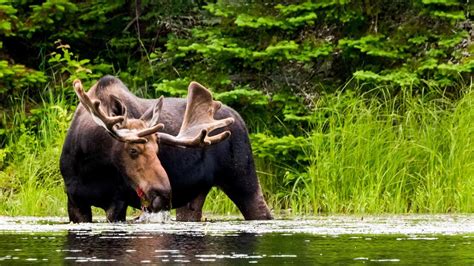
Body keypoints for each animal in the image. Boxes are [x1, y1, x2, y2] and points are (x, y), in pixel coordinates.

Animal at [58, 75, 272, 222]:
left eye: (157, 150)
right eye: (133, 150)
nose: (164, 194)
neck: (91, 165)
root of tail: (240, 120)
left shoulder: (117, 201)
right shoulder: (75, 201)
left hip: (242, 178)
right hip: (195, 194)